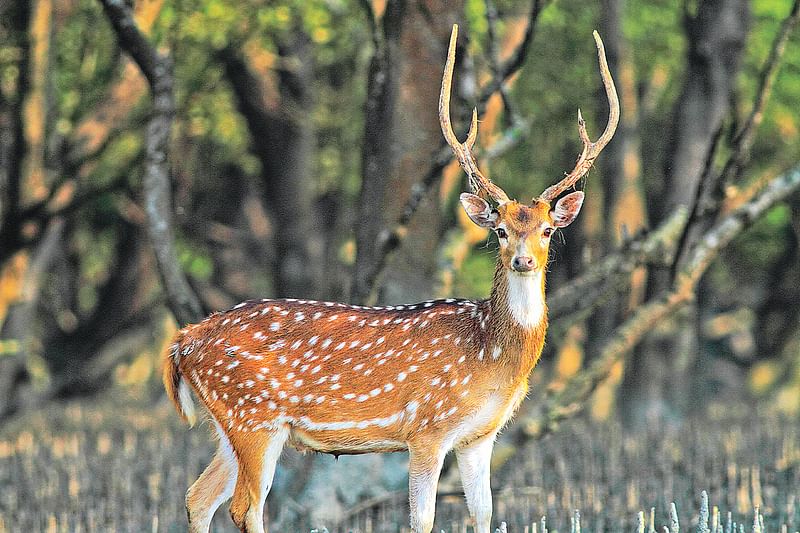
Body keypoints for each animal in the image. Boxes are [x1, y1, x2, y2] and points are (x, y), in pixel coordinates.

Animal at [162, 23, 620, 532]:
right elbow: (422, 518)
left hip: (230, 424)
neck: (491, 354)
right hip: (254, 416)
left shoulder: (479, 436)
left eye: (546, 230)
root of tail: (182, 342)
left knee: (198, 495)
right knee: (244, 506)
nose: (523, 261)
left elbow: (483, 513)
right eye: (500, 230)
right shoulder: (428, 427)